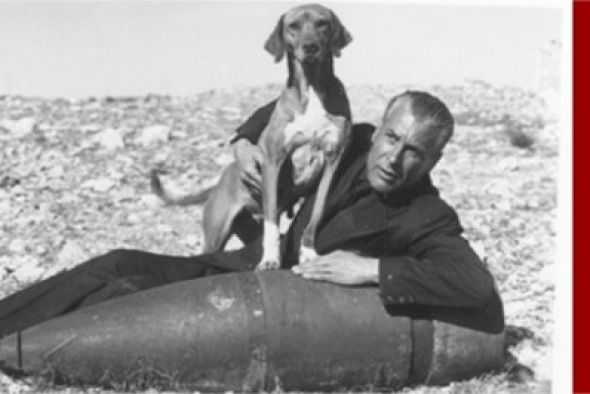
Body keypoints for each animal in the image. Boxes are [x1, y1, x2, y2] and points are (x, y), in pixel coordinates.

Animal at [155, 3, 354, 270]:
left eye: (322, 23)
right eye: (293, 26)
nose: (310, 47)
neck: (312, 89)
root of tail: (219, 182)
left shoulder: (332, 160)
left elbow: (318, 211)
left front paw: (309, 250)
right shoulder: (273, 162)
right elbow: (272, 224)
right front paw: (270, 259)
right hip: (216, 233)